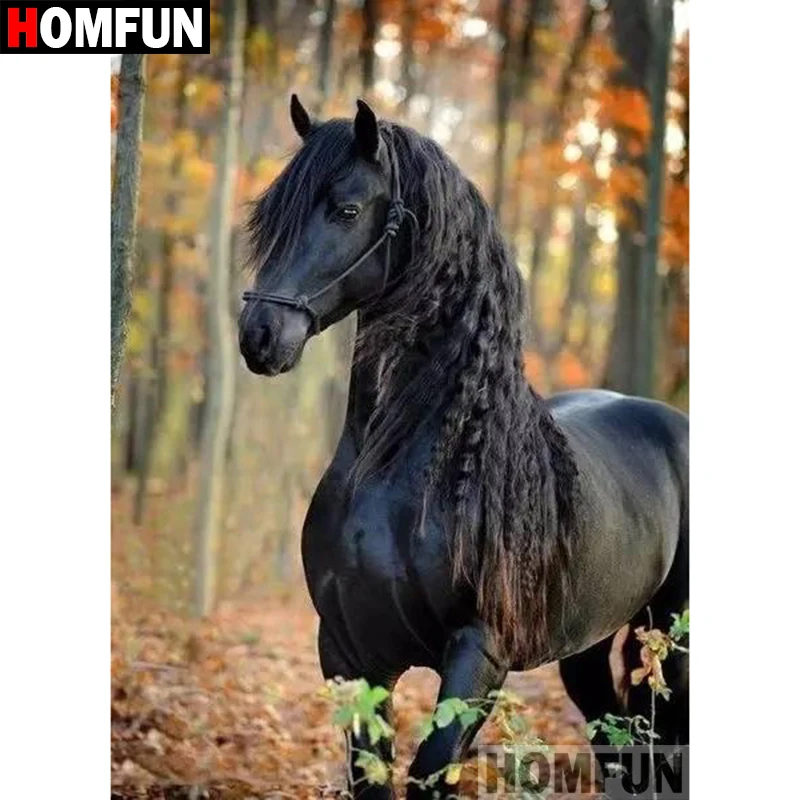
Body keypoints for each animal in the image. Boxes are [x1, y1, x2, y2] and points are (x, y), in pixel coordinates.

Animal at [239, 96, 689, 799]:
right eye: (271, 212)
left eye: (346, 209)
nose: (259, 335)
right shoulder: (348, 654)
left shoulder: (477, 656)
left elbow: (431, 772)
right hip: (588, 646)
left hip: (669, 634)